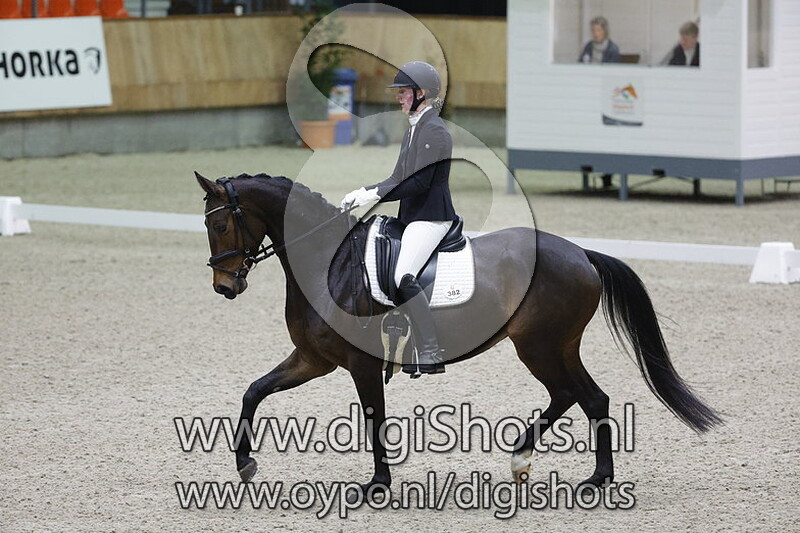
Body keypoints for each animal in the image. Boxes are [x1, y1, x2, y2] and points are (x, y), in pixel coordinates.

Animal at [195, 171, 722, 499]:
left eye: (220, 223)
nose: (225, 286)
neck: (330, 263)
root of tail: (580, 254)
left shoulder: (361, 364)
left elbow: (373, 418)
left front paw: (378, 484)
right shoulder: (312, 359)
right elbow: (253, 392)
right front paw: (244, 464)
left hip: (539, 346)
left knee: (578, 395)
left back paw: (579, 474)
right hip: (555, 346)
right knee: (586, 397)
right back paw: (563, 469)